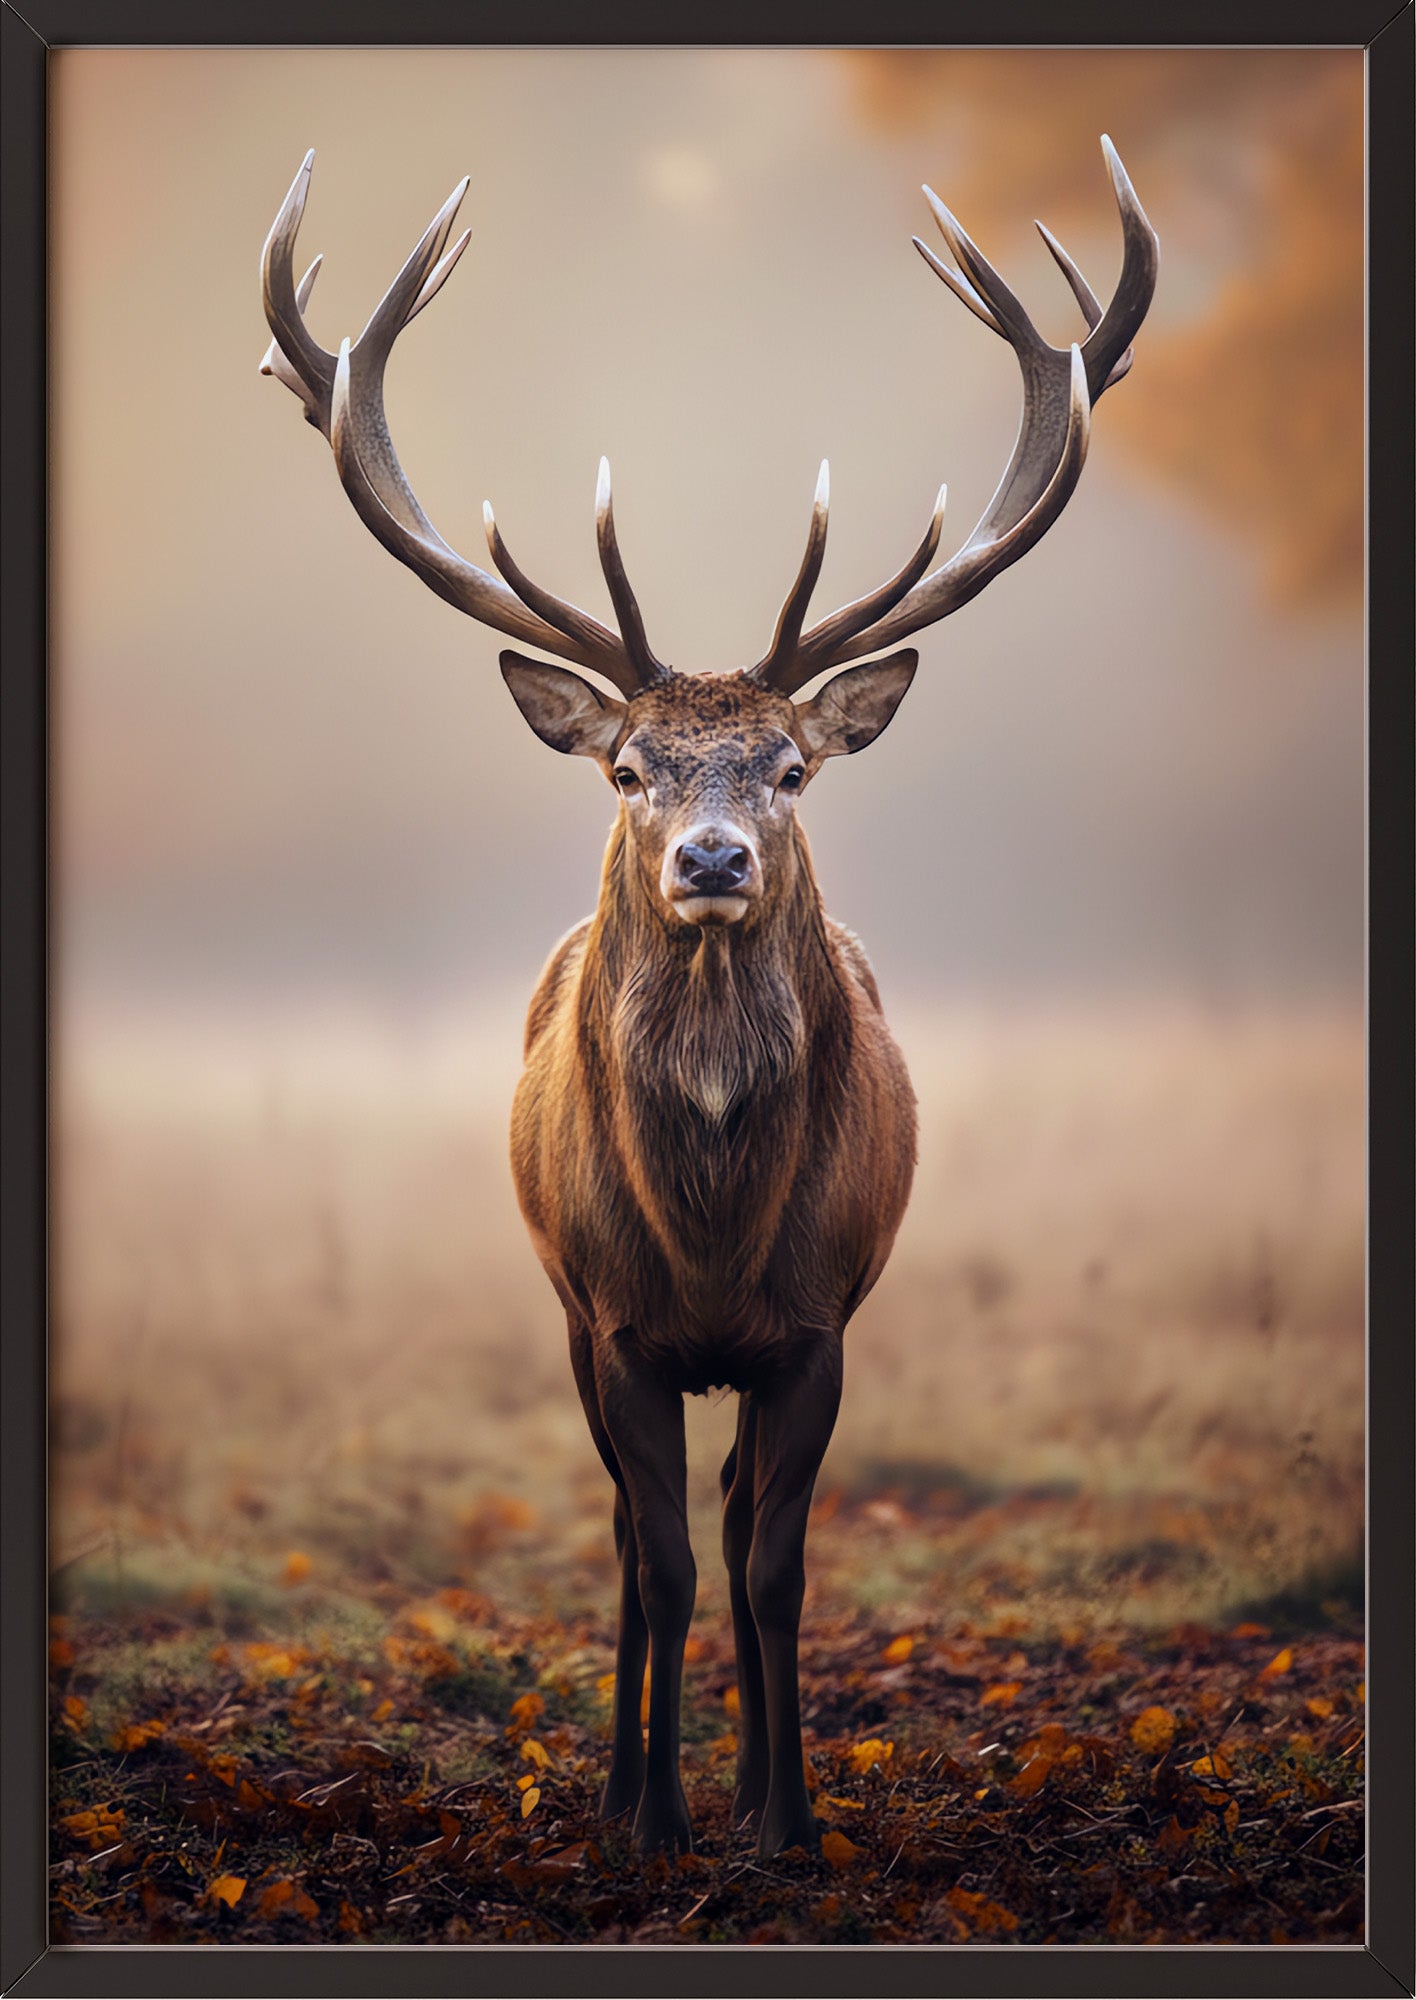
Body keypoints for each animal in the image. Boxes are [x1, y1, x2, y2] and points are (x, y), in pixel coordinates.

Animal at [259, 139, 1156, 1859]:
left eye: (792, 765)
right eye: (628, 767)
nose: (717, 856)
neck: (717, 1230)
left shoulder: (817, 1323)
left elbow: (773, 1567)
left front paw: (783, 1819)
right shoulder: (613, 1319)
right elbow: (659, 1560)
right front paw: (650, 1815)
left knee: (738, 1531)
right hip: (563, 1308)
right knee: (632, 1538)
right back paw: (634, 1783)